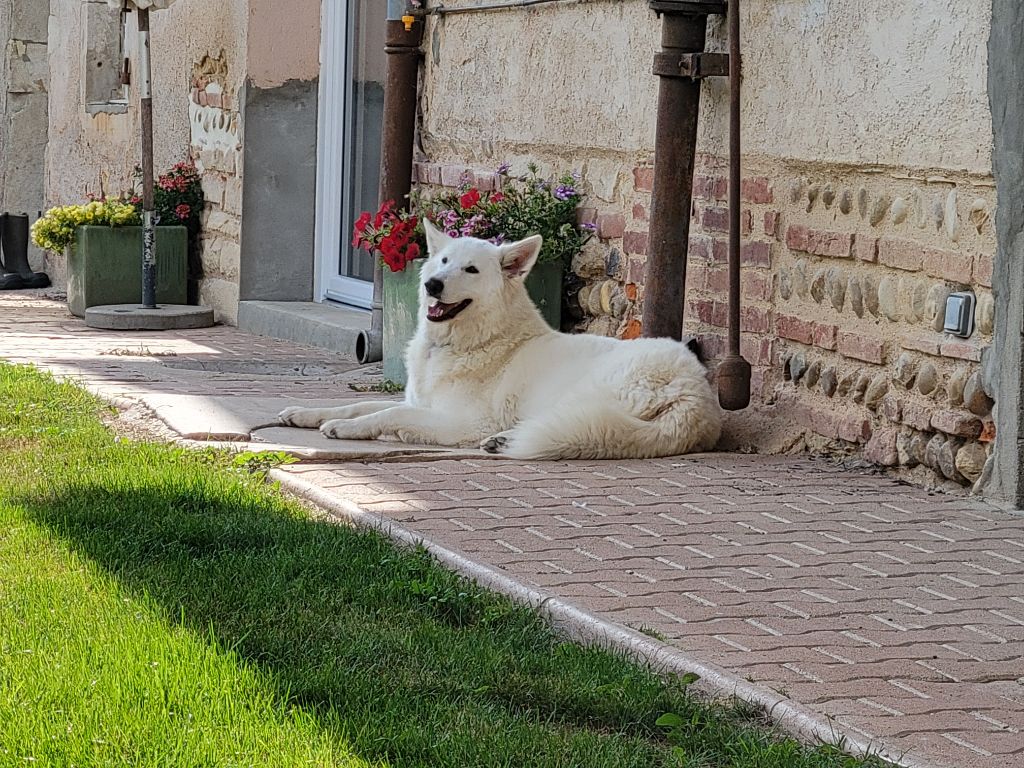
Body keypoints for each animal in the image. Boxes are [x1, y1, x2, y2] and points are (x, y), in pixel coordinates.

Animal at [280, 221, 720, 462]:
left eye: (471, 270)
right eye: (443, 261)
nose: (432, 284)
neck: (468, 342)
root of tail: (696, 395)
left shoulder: (460, 421)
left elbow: (387, 415)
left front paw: (344, 428)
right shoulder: (419, 401)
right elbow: (359, 404)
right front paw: (305, 413)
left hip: (579, 395)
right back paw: (502, 442)